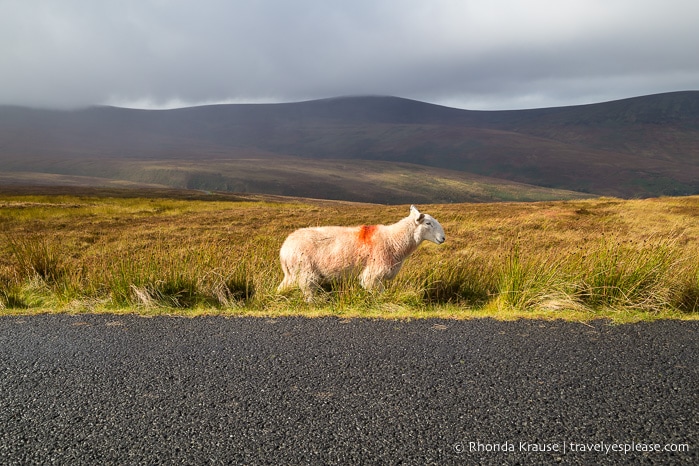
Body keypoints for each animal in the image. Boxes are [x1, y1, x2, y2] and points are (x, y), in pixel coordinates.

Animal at [278, 205, 446, 300]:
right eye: (428, 223)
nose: (443, 238)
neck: (393, 240)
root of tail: (284, 249)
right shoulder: (373, 275)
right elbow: (379, 294)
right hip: (306, 272)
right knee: (308, 293)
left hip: (292, 274)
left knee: (282, 288)